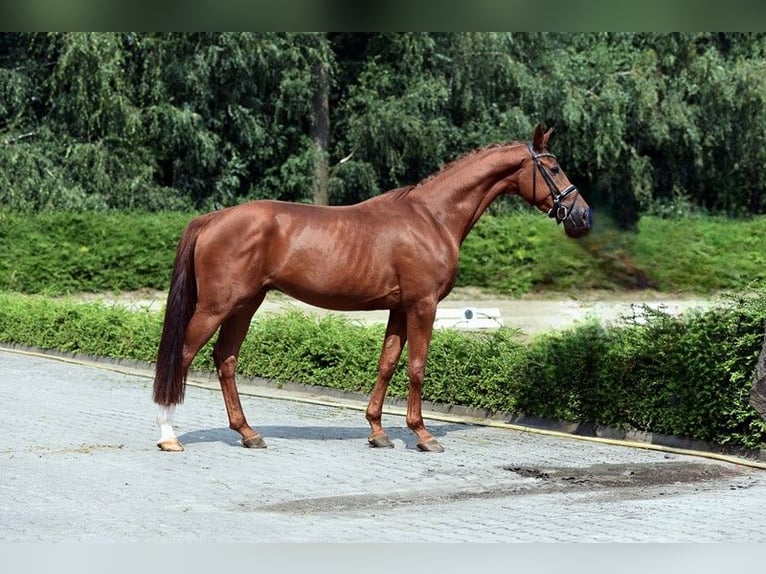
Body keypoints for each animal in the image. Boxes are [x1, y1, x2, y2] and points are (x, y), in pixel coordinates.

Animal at [152, 126, 592, 454]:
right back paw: (169, 436)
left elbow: (387, 363)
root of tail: (213, 218)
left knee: (225, 359)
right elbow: (416, 367)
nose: (583, 216)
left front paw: (378, 432)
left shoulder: (399, 308)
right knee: (184, 355)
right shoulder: (423, 305)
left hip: (246, 304)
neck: (432, 217)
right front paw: (423, 435)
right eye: (553, 167)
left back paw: (248, 433)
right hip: (216, 306)